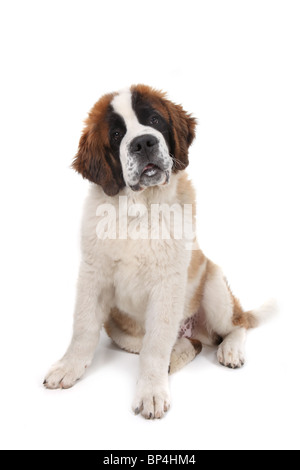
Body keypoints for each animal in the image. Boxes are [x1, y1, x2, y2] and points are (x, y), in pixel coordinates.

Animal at [44, 83, 272, 418]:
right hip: (124, 332)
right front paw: (69, 366)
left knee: (237, 324)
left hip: (214, 285)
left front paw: (151, 392)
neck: (140, 210)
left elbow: (156, 346)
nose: (143, 142)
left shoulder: (168, 285)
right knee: (186, 345)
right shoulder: (93, 274)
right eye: (116, 134)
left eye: (154, 119)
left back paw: (230, 350)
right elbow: (83, 327)